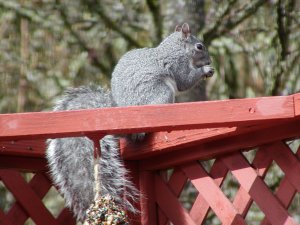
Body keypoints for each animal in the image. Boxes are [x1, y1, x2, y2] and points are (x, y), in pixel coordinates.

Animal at [46, 22, 213, 221]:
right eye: (199, 46)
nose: (209, 61)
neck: (175, 48)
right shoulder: (177, 65)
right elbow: (185, 81)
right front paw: (204, 71)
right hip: (161, 92)